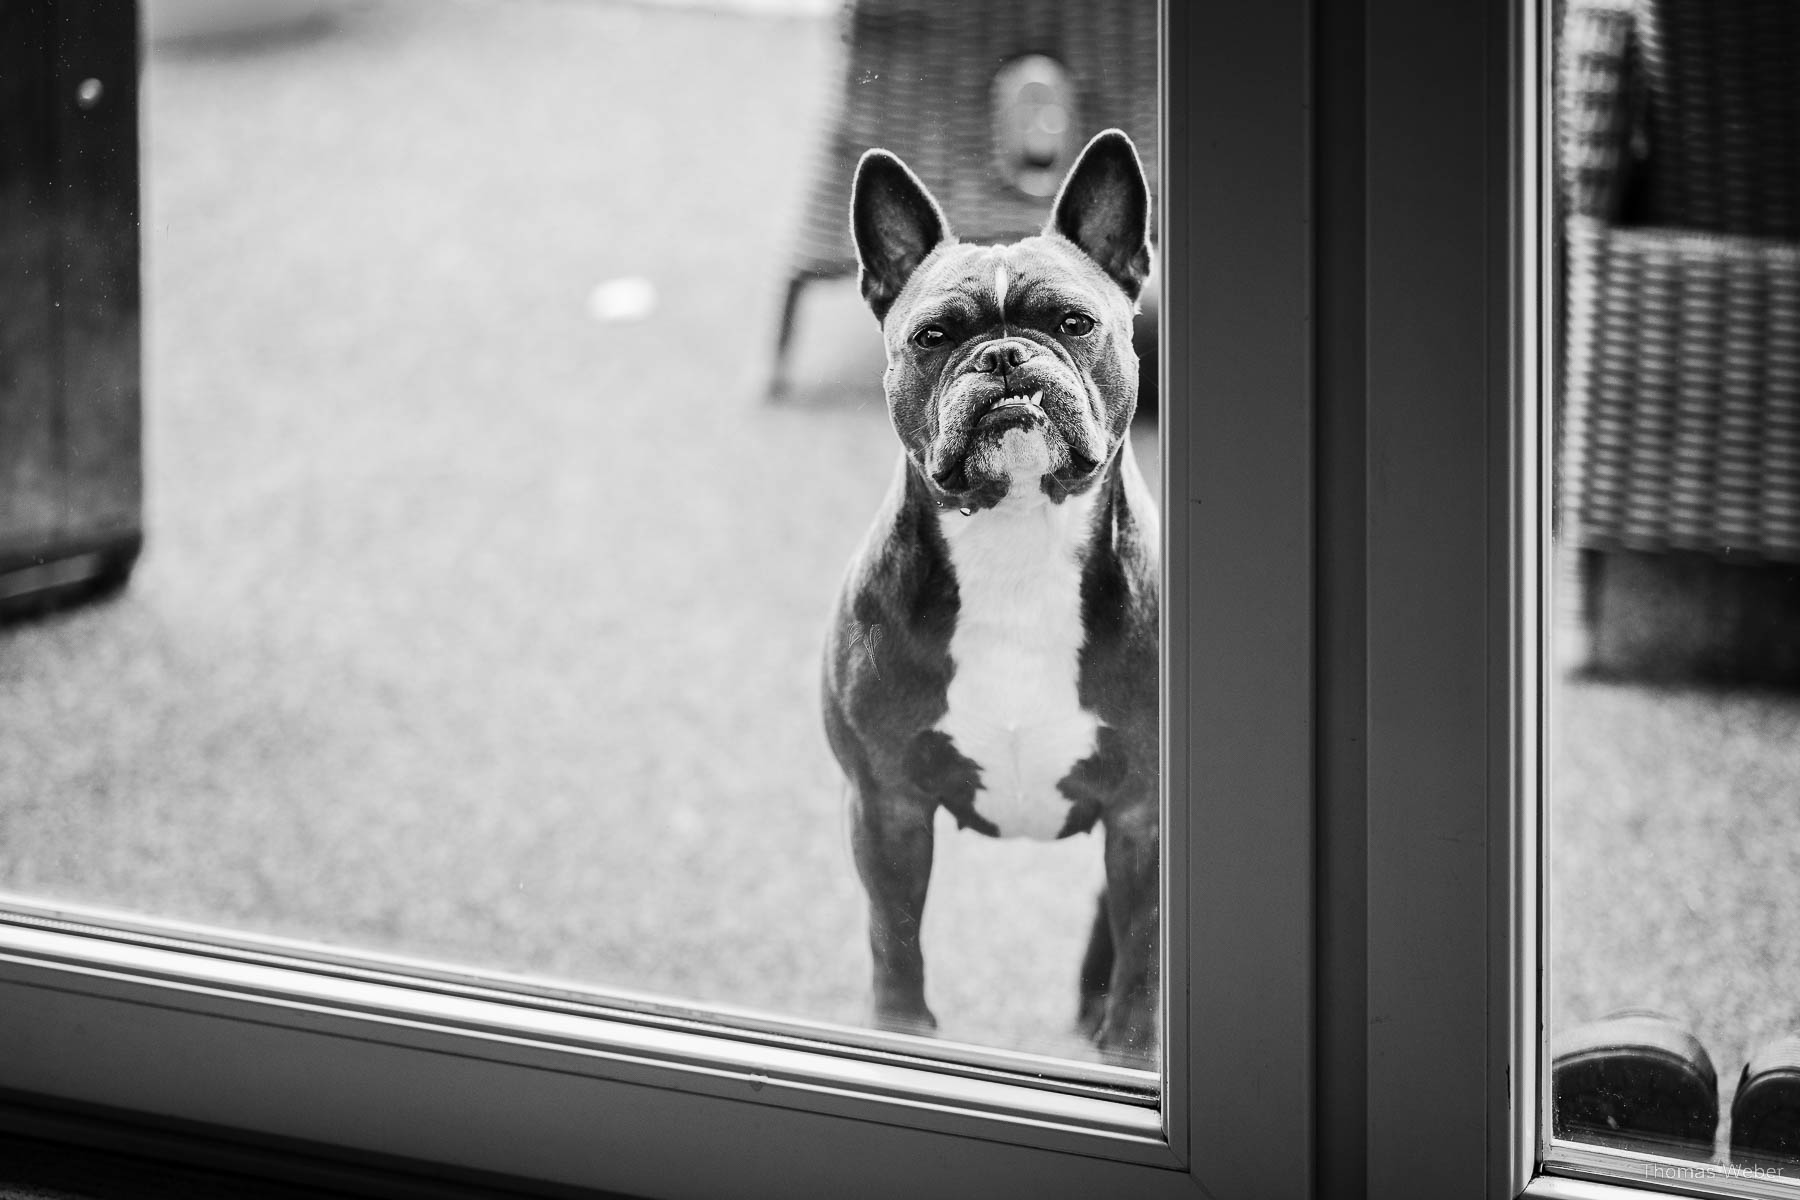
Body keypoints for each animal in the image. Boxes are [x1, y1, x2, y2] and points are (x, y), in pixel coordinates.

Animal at [824, 131, 1159, 1065]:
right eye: (935, 336)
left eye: (1074, 323)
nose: (1006, 356)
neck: (1016, 535)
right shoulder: (887, 804)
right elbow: (895, 936)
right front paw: (903, 1036)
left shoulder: (1144, 815)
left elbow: (1145, 951)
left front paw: (1130, 1053)